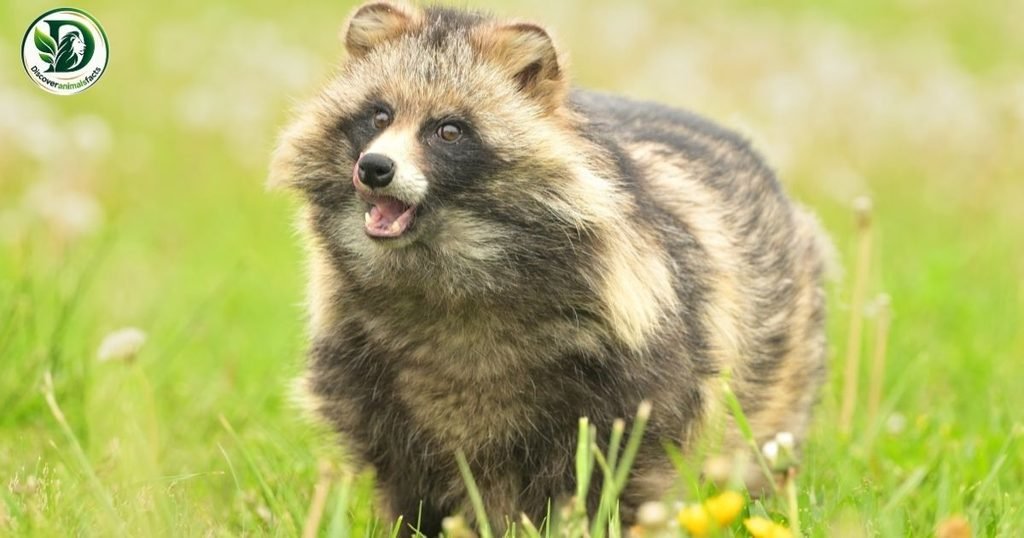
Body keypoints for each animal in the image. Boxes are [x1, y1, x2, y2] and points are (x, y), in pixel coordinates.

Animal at [270, 1, 831, 535]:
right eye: (379, 115)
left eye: (449, 130)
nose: (374, 168)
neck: (446, 274)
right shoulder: (365, 365)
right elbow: (403, 473)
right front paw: (414, 524)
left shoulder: (642, 356)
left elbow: (625, 463)